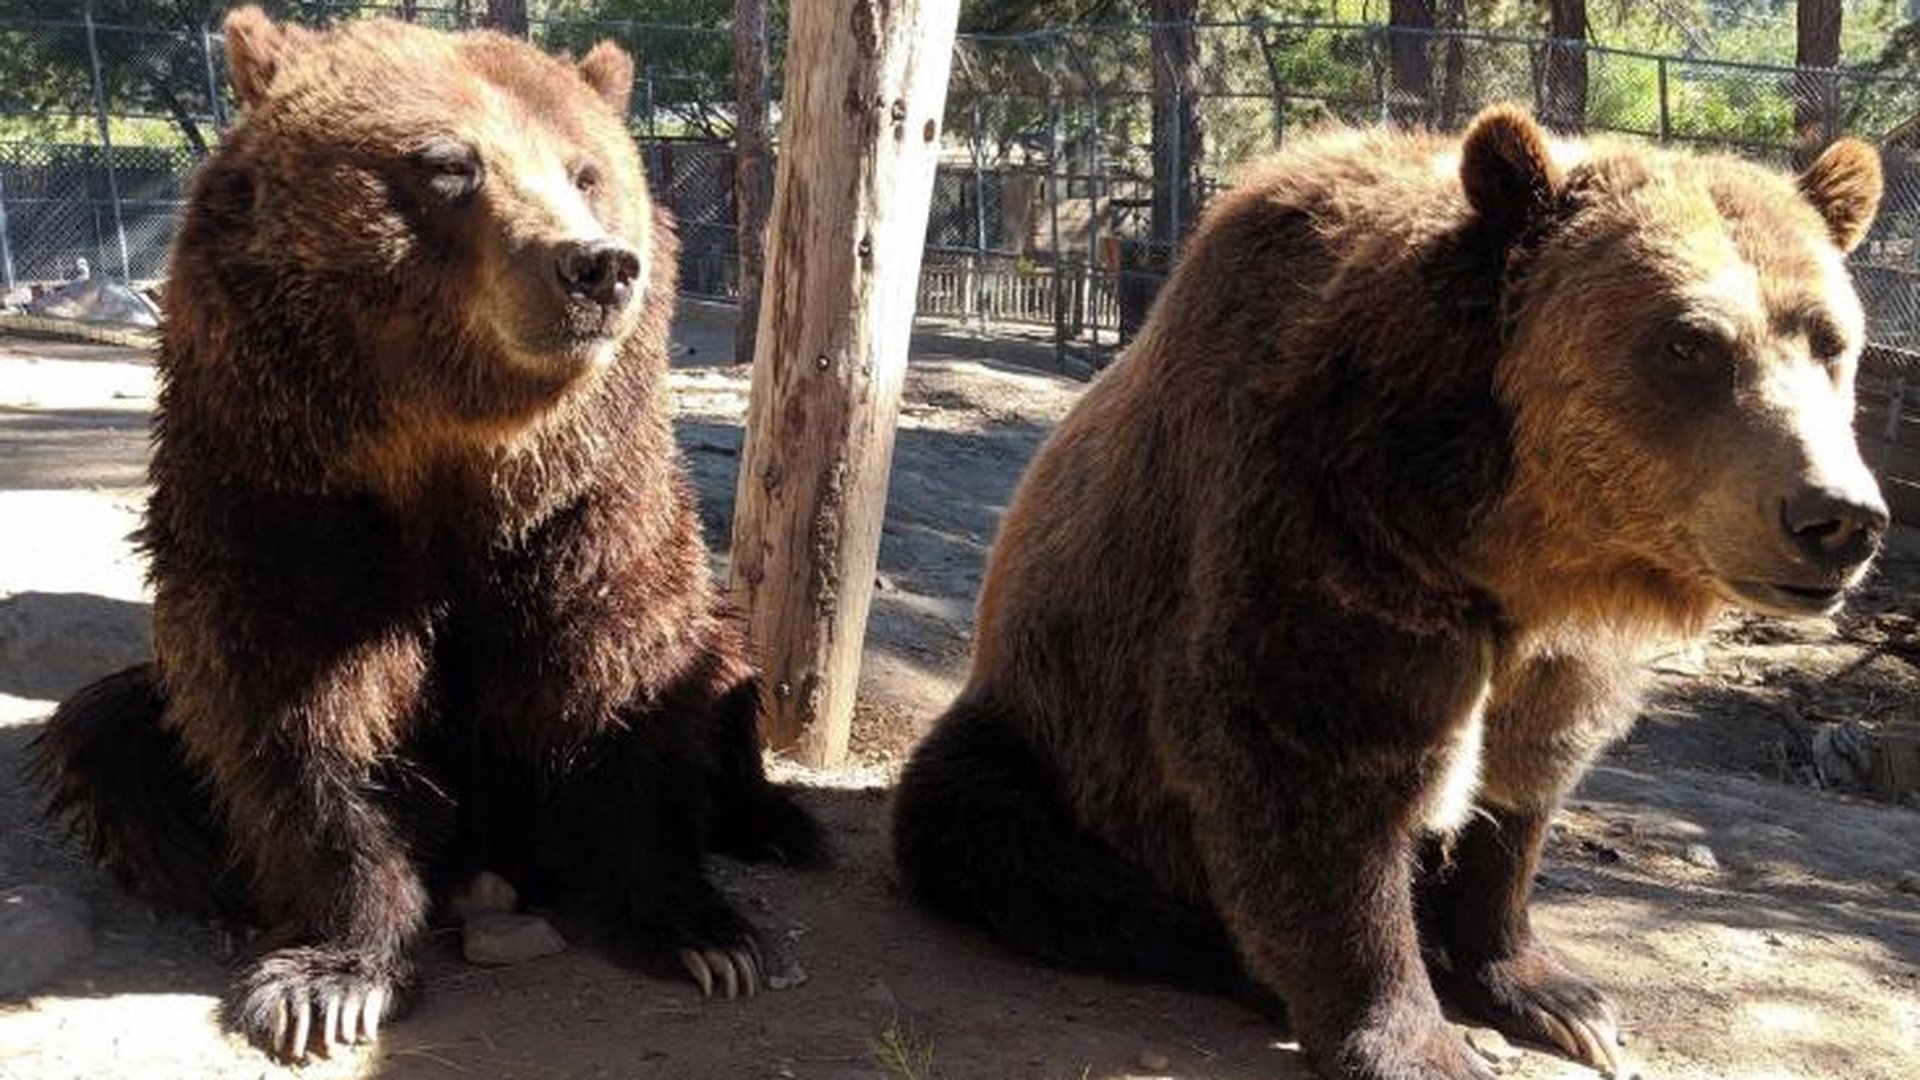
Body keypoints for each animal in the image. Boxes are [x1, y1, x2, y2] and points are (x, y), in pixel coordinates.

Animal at [33, 8, 824, 1062]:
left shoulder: (588, 514)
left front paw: (706, 935)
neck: (449, 461)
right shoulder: (283, 503)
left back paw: (777, 822)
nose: (598, 264)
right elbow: (301, 715)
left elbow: (625, 678)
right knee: (116, 738)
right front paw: (333, 980)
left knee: (730, 660)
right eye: (449, 164)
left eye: (585, 170)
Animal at [892, 106, 1886, 1080]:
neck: (1516, 530)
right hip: (1048, 732)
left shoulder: (1558, 638)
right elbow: (1316, 780)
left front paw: (1560, 997)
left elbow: (1525, 775)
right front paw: (1422, 1040)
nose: (1838, 515)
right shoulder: (1326, 528)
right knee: (984, 823)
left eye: (1831, 342)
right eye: (1688, 342)